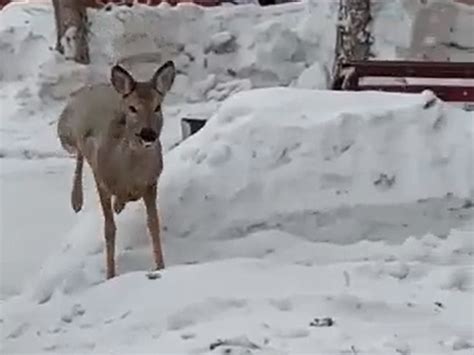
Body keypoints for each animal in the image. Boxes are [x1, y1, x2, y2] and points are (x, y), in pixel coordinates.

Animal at [57, 60, 176, 278]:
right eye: (132, 108)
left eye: (157, 106)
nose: (148, 134)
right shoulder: (101, 180)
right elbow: (109, 230)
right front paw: (110, 275)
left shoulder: (151, 183)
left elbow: (153, 224)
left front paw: (161, 266)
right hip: (67, 134)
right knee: (78, 155)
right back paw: (76, 201)